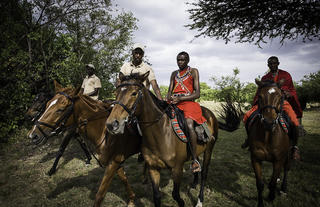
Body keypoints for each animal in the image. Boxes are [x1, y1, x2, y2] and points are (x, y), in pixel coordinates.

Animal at [105, 73, 240, 207]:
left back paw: (199, 200)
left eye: (134, 93)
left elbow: (175, 195)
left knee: (204, 174)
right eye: (116, 93)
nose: (112, 124)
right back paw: (194, 180)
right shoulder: (153, 168)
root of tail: (211, 115)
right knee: (197, 162)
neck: (161, 133)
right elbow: (156, 196)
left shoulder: (177, 169)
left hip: (209, 149)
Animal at [248, 79, 292, 207]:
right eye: (260, 96)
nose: (268, 122)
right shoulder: (256, 159)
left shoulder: (278, 160)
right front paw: (260, 203)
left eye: (281, 97)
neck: (267, 136)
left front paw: (271, 197)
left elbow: (272, 183)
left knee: (286, 168)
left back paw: (283, 188)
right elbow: (260, 184)